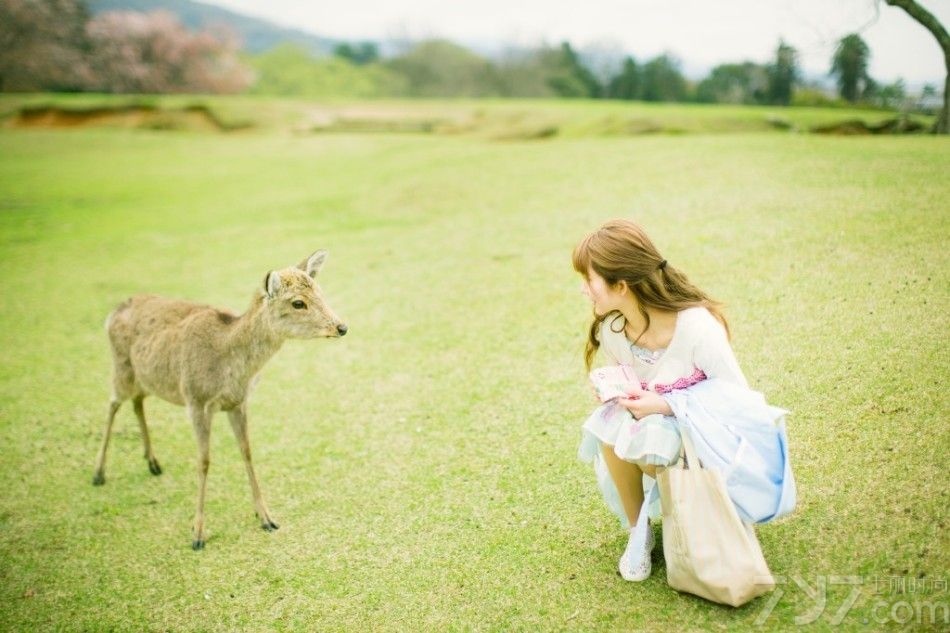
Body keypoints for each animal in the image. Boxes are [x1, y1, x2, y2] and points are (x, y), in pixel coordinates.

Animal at [94, 251, 350, 548]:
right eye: (298, 302)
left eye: (320, 291)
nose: (341, 326)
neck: (232, 366)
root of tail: (112, 313)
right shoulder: (196, 400)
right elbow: (204, 461)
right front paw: (197, 534)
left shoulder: (238, 403)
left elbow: (247, 451)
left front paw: (266, 518)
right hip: (121, 368)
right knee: (113, 403)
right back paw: (99, 473)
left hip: (146, 378)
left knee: (138, 401)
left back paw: (153, 463)